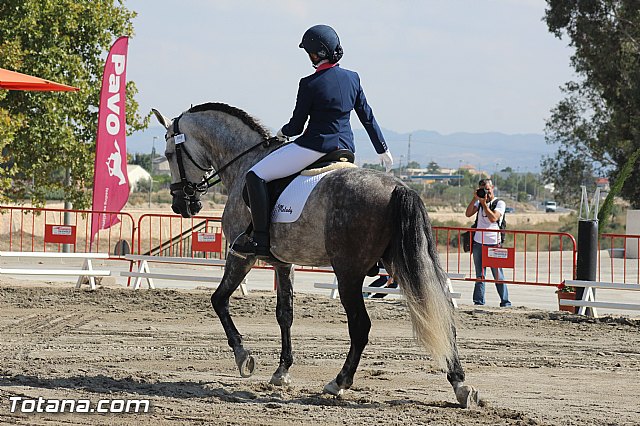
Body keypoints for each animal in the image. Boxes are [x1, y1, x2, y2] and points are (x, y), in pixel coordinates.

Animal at [152, 102, 480, 407]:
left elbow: (218, 299)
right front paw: (282, 371)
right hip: (402, 264)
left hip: (349, 273)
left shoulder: (241, 255)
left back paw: (339, 382)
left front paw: (244, 357)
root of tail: (399, 188)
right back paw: (461, 386)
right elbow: (285, 313)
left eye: (168, 154)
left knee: (360, 326)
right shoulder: (283, 262)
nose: (183, 205)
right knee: (442, 316)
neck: (245, 161)